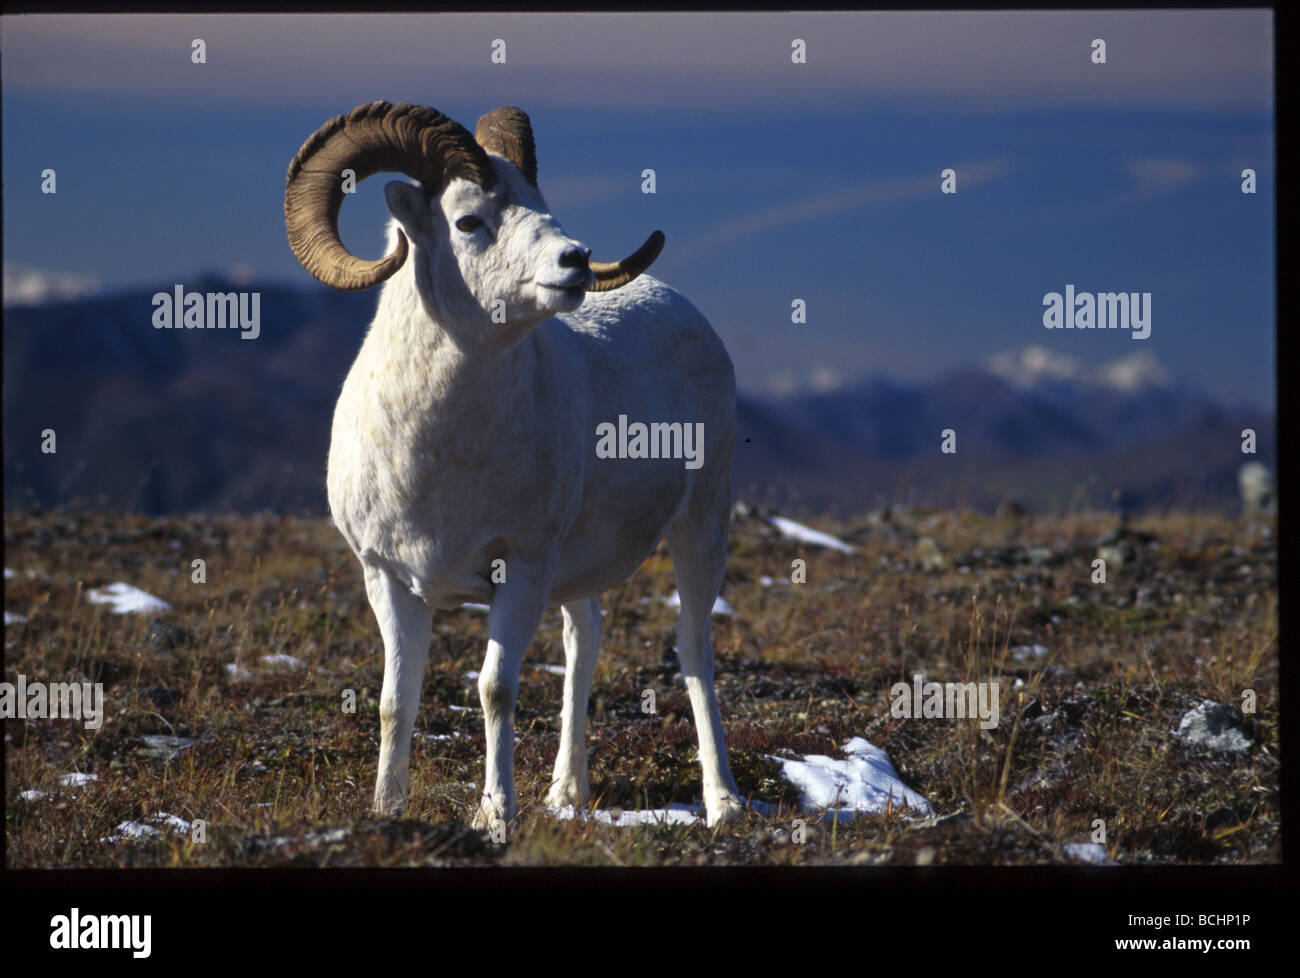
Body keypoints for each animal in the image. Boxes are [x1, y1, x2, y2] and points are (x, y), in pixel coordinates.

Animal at [286, 105, 748, 827]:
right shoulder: (387, 580)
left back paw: (723, 803)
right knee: (585, 640)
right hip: (581, 570)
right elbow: (395, 701)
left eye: (540, 204)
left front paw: (495, 815)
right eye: (469, 221)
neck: (440, 465)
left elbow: (495, 690)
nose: (575, 261)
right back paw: (567, 794)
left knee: (695, 650)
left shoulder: (521, 570)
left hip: (702, 524)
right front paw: (387, 810)